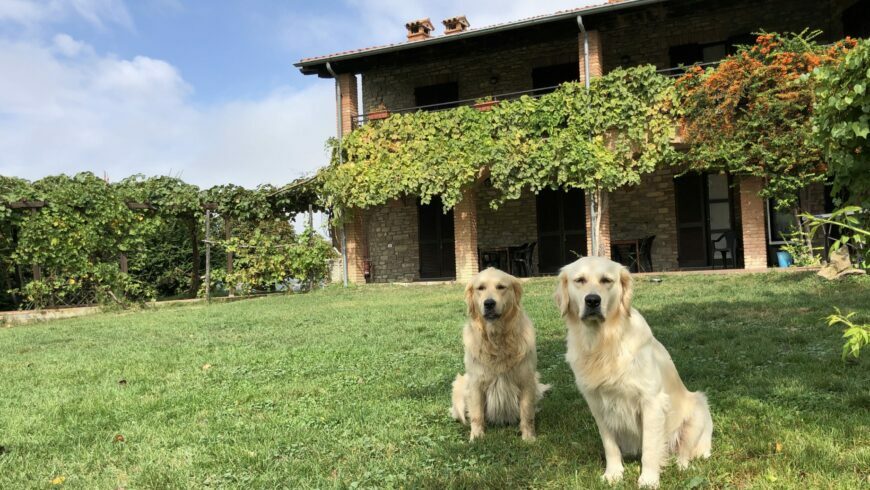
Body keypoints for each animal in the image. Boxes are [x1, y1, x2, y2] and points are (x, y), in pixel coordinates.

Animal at [454, 268, 548, 440]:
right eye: (480, 288)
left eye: (501, 287)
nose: (489, 303)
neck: (496, 338)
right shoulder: (476, 382)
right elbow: (477, 414)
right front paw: (476, 437)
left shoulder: (526, 379)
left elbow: (527, 412)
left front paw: (528, 437)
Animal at [556, 258, 712, 488]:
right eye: (580, 280)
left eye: (606, 280)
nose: (592, 300)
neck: (603, 343)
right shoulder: (596, 403)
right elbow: (609, 444)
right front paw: (613, 474)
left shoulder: (651, 402)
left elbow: (650, 448)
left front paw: (648, 479)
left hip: (698, 409)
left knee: (684, 453)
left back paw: (682, 466)